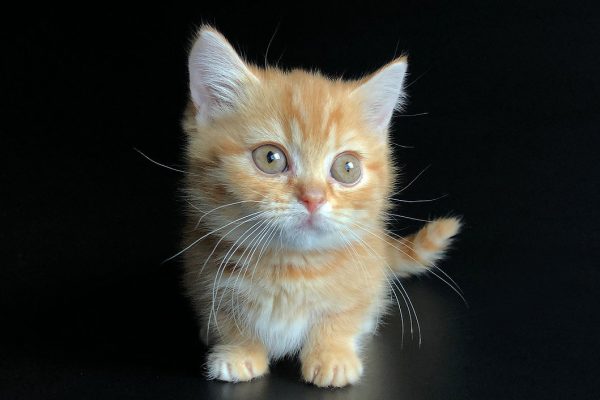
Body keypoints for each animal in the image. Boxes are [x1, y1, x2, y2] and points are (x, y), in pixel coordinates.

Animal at [178, 25, 460, 388]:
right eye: (270, 158)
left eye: (347, 168)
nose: (313, 197)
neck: (291, 267)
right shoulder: (203, 276)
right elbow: (227, 316)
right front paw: (239, 351)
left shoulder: (364, 280)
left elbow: (344, 314)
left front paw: (332, 355)